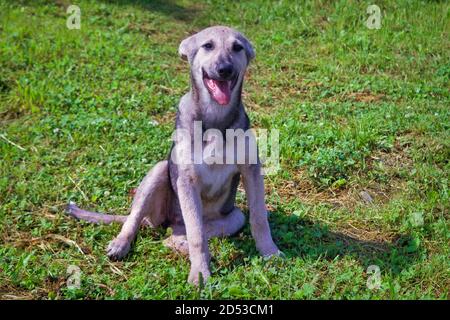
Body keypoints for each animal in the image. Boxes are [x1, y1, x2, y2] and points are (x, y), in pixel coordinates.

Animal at [65, 25, 280, 284]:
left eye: (237, 47)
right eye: (208, 46)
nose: (225, 69)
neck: (215, 117)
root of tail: (164, 222)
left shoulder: (251, 170)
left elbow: (259, 218)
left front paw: (269, 251)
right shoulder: (186, 178)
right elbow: (197, 234)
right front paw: (200, 272)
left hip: (233, 217)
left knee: (181, 235)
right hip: (160, 172)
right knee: (139, 221)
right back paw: (121, 243)